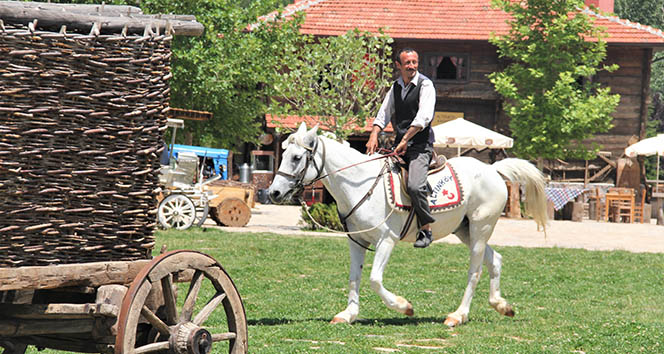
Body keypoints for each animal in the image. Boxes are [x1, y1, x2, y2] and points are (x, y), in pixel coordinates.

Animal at [268, 124, 548, 326]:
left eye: (296, 158)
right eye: (283, 155)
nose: (274, 193)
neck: (359, 183)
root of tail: (493, 170)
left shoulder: (386, 240)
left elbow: (374, 279)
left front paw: (404, 306)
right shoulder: (357, 241)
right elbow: (354, 277)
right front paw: (348, 314)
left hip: (480, 229)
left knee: (476, 270)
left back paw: (458, 315)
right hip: (465, 230)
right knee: (495, 260)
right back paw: (502, 306)